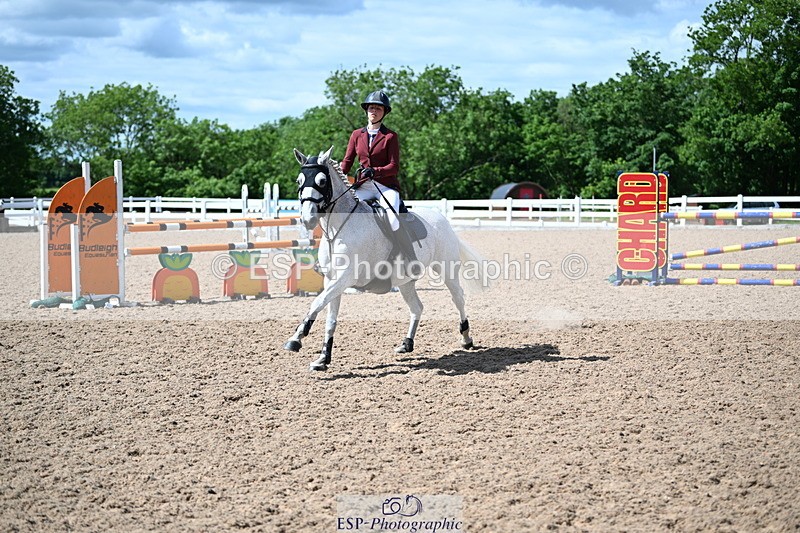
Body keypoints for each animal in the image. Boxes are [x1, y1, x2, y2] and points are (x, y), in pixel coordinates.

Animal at [284, 146, 486, 371]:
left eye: (321, 181)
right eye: (299, 181)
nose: (307, 219)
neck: (340, 228)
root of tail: (442, 219)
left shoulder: (344, 279)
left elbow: (316, 303)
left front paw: (295, 339)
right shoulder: (331, 280)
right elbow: (329, 317)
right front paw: (322, 359)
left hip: (446, 269)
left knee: (458, 298)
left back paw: (466, 338)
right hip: (406, 282)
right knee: (417, 307)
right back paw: (407, 344)